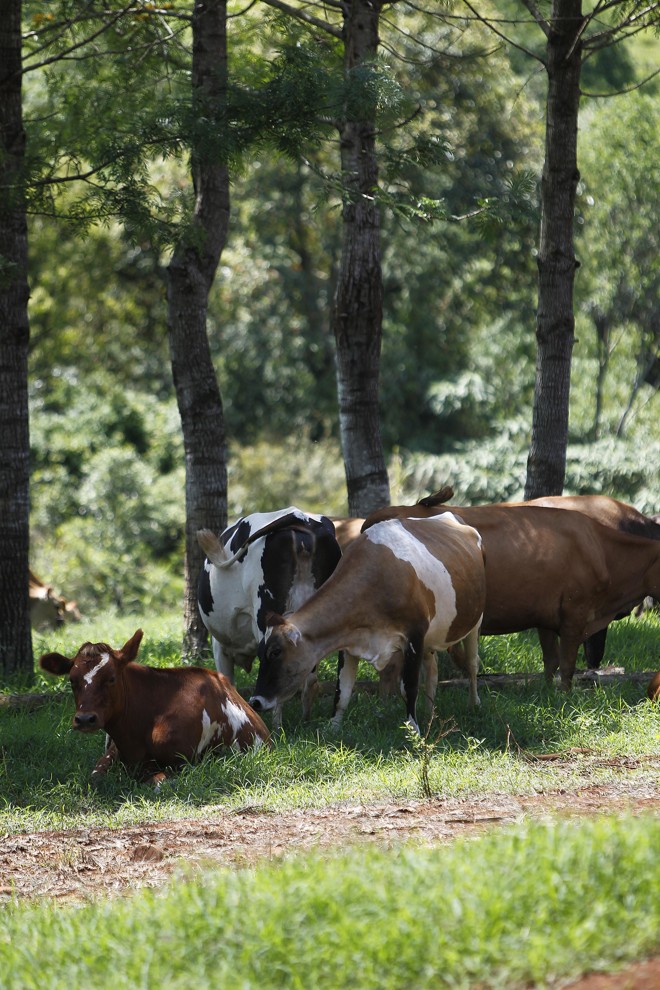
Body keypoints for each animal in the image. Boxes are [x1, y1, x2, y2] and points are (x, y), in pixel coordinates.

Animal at [39, 629, 270, 786]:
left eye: (111, 678)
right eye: (72, 680)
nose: (85, 719)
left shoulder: (184, 762)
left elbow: (155, 782)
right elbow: (96, 777)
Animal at [250, 512, 487, 732]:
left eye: (275, 652)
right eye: (260, 653)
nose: (255, 701)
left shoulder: (414, 636)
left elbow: (408, 686)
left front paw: (414, 729)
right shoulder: (348, 642)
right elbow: (342, 690)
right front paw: (332, 728)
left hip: (475, 622)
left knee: (472, 663)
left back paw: (473, 705)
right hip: (432, 637)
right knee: (433, 671)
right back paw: (430, 714)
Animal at [362, 499, 660, 691]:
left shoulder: (546, 617)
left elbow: (551, 662)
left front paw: (547, 694)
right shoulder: (575, 613)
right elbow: (567, 665)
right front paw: (564, 697)